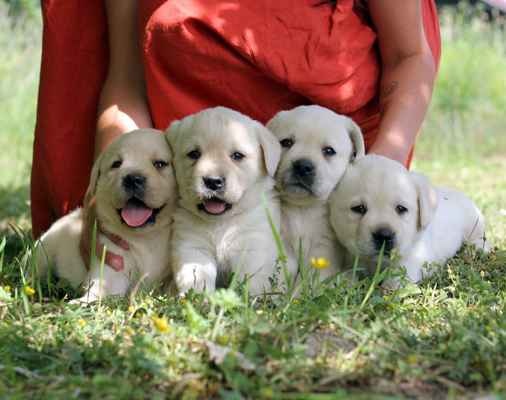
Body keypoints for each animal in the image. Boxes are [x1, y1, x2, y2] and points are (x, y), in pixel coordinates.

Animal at [34, 130, 177, 302]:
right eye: (116, 164)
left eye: (160, 164)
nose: (132, 178)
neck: (147, 237)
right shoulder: (111, 259)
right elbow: (100, 291)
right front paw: (80, 303)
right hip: (43, 249)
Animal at [168, 108, 282, 296]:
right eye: (194, 154)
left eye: (237, 155)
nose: (213, 182)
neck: (221, 223)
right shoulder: (192, 245)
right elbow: (196, 275)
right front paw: (198, 297)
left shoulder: (252, 247)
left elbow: (250, 280)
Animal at [264, 106, 364, 282]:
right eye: (286, 142)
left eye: (329, 151)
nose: (302, 166)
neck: (302, 209)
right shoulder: (282, 241)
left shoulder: (323, 247)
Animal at [328, 155, 490, 290]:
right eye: (359, 208)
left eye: (401, 208)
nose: (384, 235)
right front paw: (342, 282)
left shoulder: (417, 256)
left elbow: (400, 274)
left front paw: (389, 288)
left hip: (474, 223)